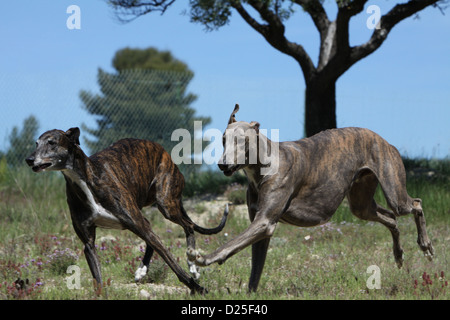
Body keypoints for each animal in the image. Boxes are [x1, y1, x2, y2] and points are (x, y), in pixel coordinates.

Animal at [25, 127, 227, 292]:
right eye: (36, 143)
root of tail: (163, 151)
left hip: (165, 204)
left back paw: (192, 265)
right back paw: (142, 270)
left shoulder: (136, 220)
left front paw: (199, 289)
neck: (85, 179)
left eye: (52, 142)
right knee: (152, 234)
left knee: (187, 226)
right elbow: (98, 281)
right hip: (143, 215)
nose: (29, 159)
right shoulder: (89, 244)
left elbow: (173, 264)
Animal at [188, 104, 434, 292]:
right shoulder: (260, 226)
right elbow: (255, 270)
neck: (264, 165)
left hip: (393, 191)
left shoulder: (265, 222)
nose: (222, 165)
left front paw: (202, 258)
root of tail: (384, 140)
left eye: (241, 140)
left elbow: (230, 244)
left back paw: (426, 245)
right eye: (223, 139)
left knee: (415, 204)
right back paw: (398, 255)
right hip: (361, 204)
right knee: (391, 218)